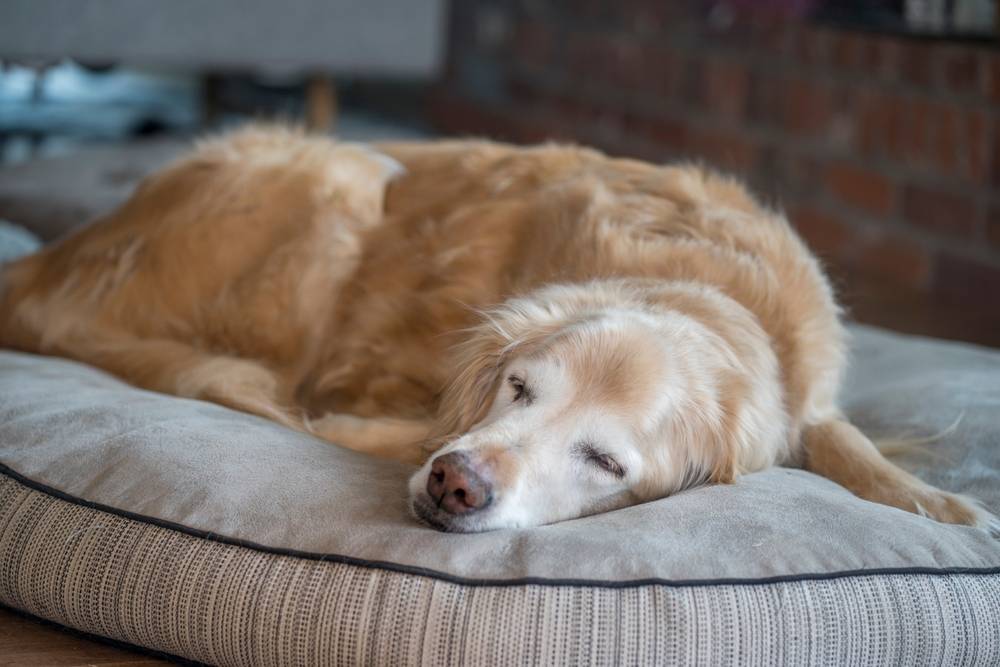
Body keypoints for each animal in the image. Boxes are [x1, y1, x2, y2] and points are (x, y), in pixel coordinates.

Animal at [0, 126, 984, 532]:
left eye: (607, 460)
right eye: (518, 387)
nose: (456, 483)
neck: (702, 289)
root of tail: (43, 263)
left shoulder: (804, 391)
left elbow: (839, 435)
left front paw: (930, 502)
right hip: (350, 173)